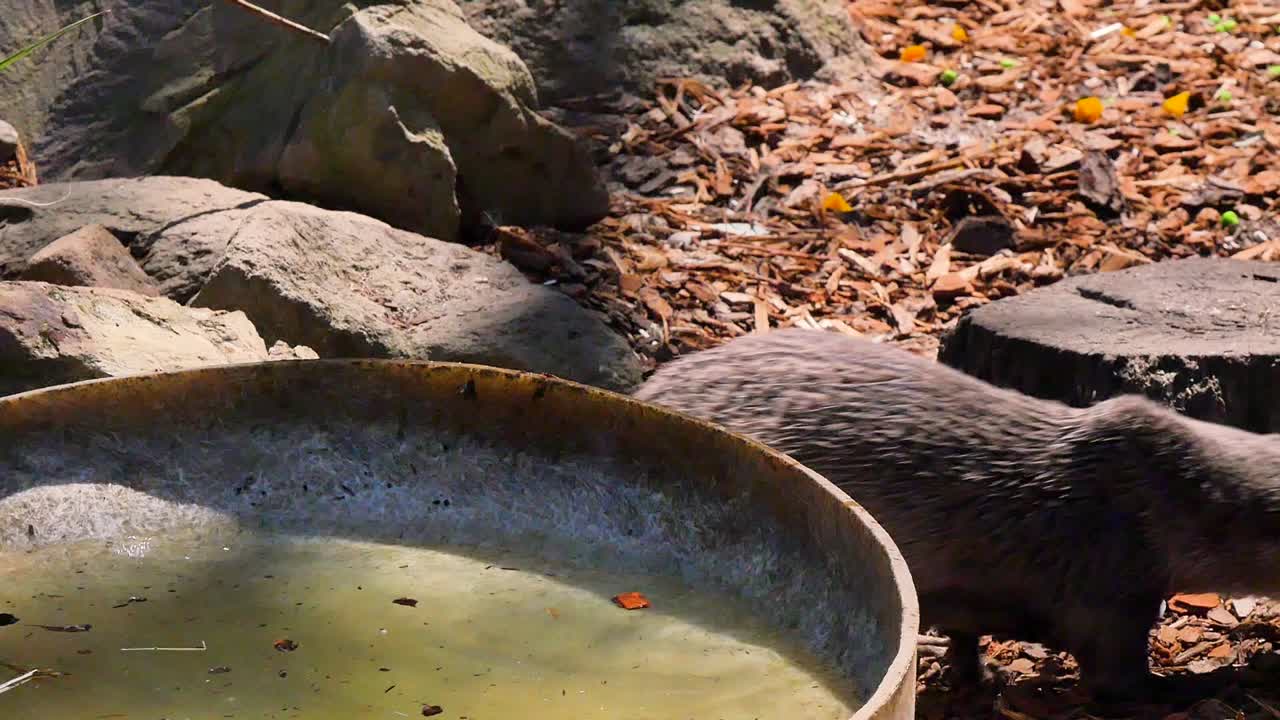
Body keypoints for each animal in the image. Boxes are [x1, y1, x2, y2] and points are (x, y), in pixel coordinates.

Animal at [633, 327, 1280, 701]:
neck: (1161, 504)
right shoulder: (1108, 592)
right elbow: (1121, 683)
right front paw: (1224, 682)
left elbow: (967, 634)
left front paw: (978, 678)